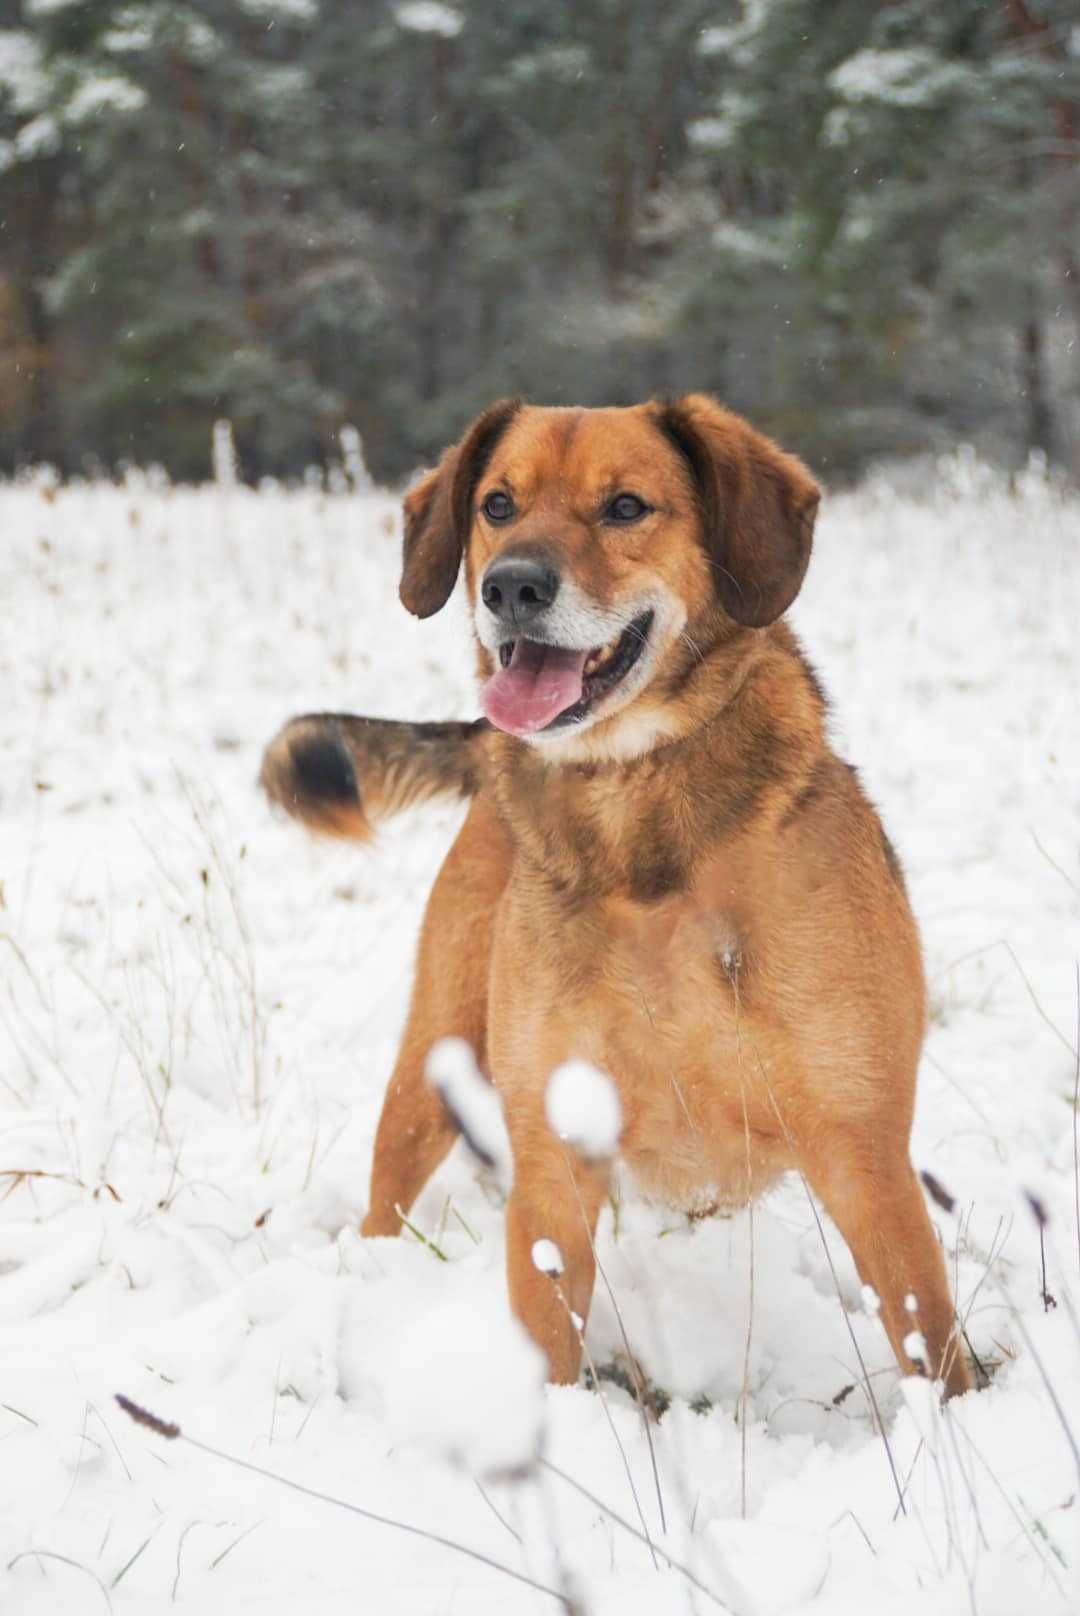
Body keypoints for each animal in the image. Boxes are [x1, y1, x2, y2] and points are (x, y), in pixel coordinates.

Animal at [258, 394, 970, 1402]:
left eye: (627, 507)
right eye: (498, 505)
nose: (511, 588)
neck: (639, 818)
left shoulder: (863, 1151)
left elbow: (927, 1340)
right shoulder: (555, 1159)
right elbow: (548, 1333)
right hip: (432, 1057)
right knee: (386, 1194)